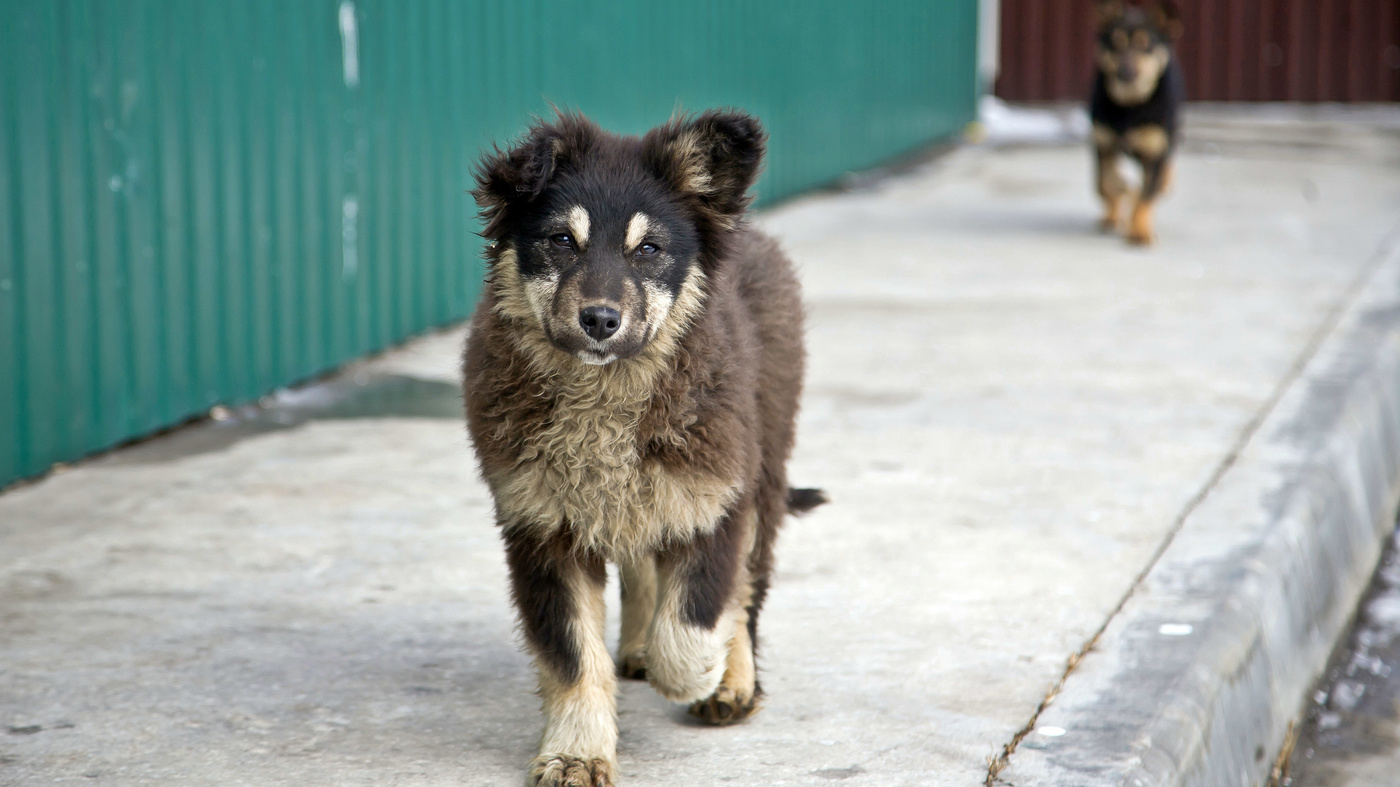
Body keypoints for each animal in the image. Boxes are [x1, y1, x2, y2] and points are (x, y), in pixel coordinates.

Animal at [464, 112, 823, 784]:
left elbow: (693, 620)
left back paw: (732, 681)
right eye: (561, 241)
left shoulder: (716, 497)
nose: (600, 320)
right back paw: (635, 646)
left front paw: (703, 673)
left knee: (747, 587)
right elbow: (573, 655)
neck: (605, 399)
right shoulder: (540, 526)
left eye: (648, 249)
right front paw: (576, 752)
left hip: (765, 463)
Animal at [1092, 0, 1181, 243]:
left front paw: (1140, 231)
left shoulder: (1155, 153)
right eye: (1116, 43)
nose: (1125, 72)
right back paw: (1113, 214)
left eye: (1145, 45)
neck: (1131, 107)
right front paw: (1120, 206)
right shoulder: (1104, 144)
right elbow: (1106, 184)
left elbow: (1145, 196)